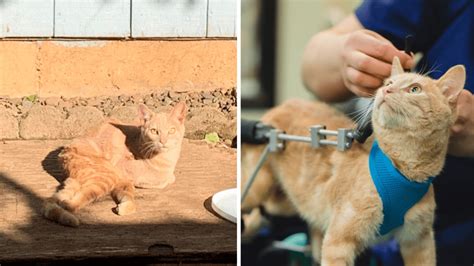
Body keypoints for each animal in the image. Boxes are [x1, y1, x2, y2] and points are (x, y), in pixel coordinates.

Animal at [42, 102, 187, 227]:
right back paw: (70, 217)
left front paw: (124, 206)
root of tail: (65, 152)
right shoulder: (121, 171)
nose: (163, 141)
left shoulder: (122, 182)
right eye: (154, 131)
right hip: (106, 175)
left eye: (172, 130)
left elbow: (128, 195)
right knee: (71, 202)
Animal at [241, 57, 462, 264]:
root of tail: (281, 106)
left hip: (287, 203)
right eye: (389, 82)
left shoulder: (419, 240)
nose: (386, 90)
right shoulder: (338, 242)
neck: (401, 173)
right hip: (259, 190)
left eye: (415, 89)